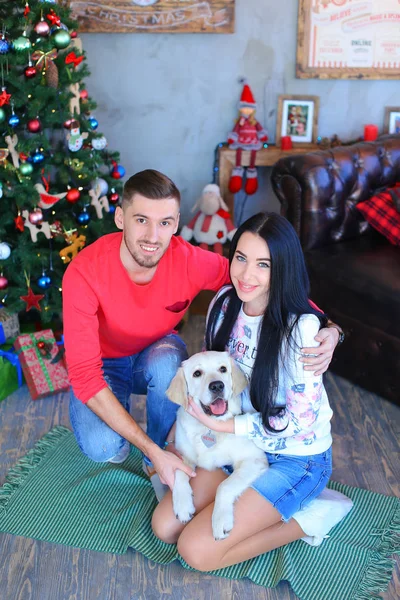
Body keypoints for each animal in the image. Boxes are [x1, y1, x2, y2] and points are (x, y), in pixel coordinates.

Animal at [166, 350, 268, 540]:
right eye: (197, 373)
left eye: (223, 369)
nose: (217, 386)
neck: (209, 428)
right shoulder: (182, 453)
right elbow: (178, 472)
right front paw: (182, 505)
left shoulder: (254, 459)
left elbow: (224, 486)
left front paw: (220, 520)